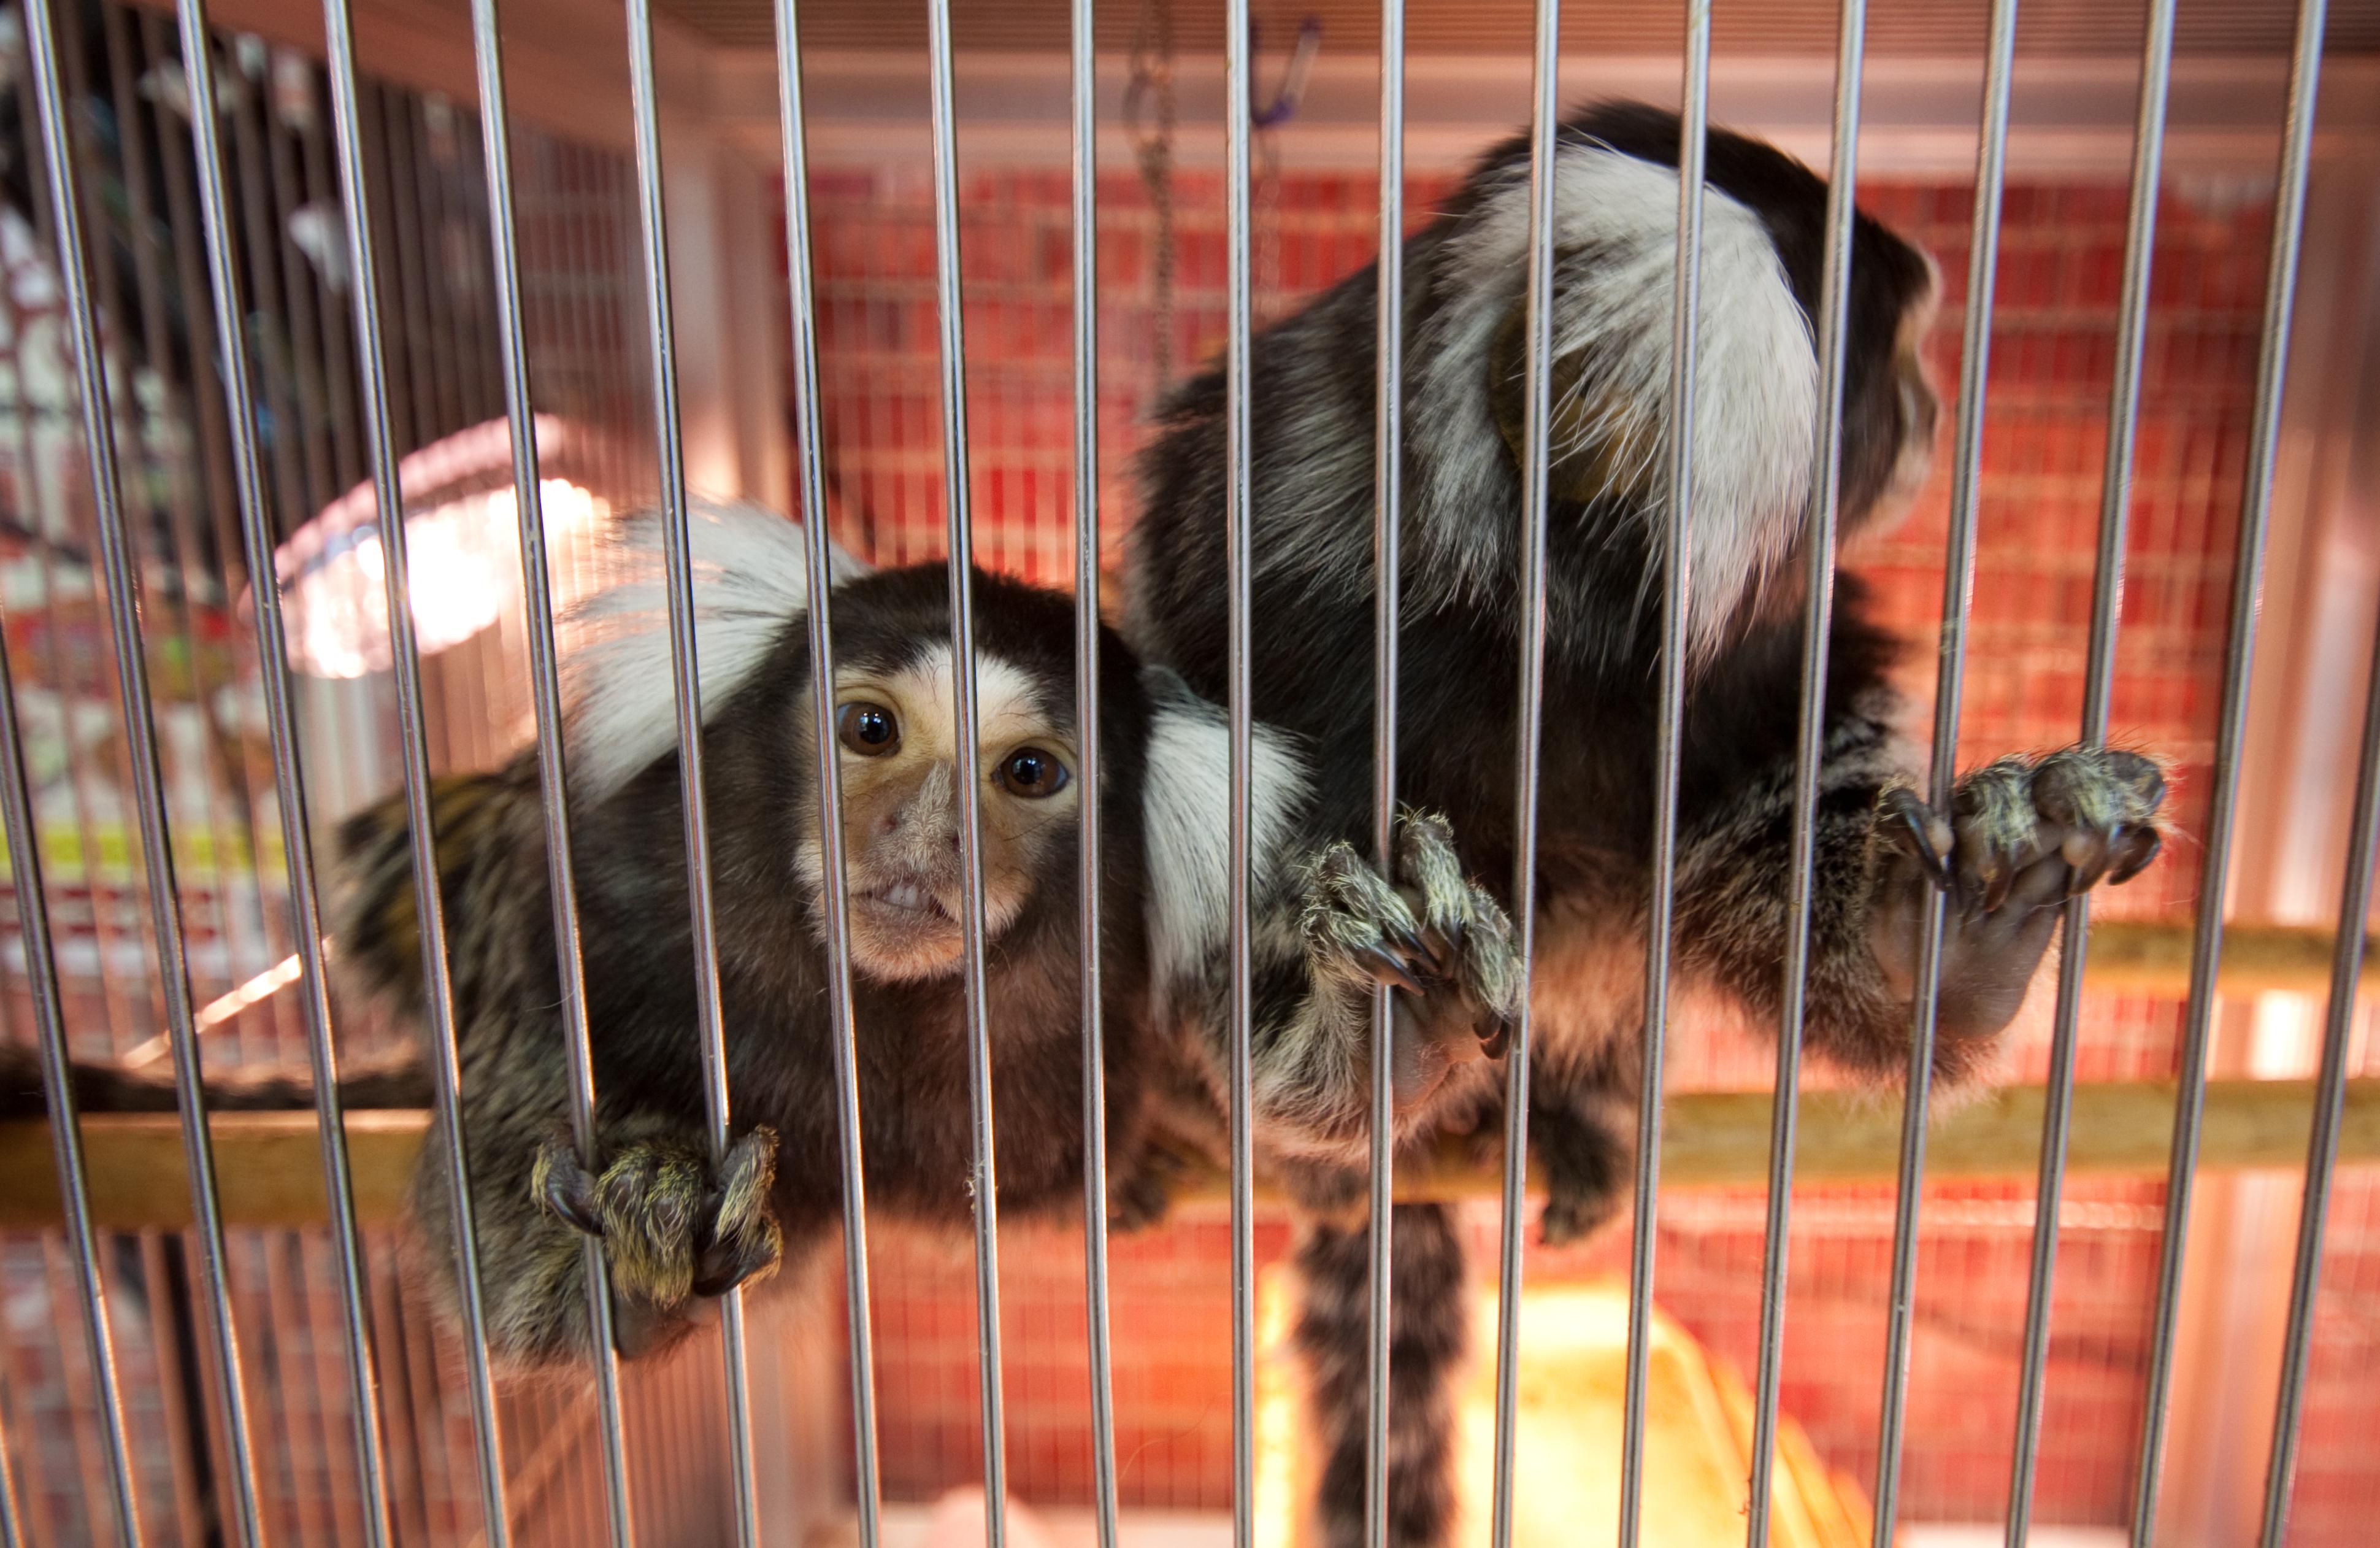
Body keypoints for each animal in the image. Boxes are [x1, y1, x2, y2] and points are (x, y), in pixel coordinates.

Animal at [1123, 102, 2169, 1548]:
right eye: (1895, 357)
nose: (1934, 407)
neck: (1538, 634)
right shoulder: (1280, 624)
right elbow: (1235, 917)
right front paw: (1380, 1034)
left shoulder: (1766, 668)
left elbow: (1777, 868)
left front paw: (1945, 943)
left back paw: (1564, 1113)